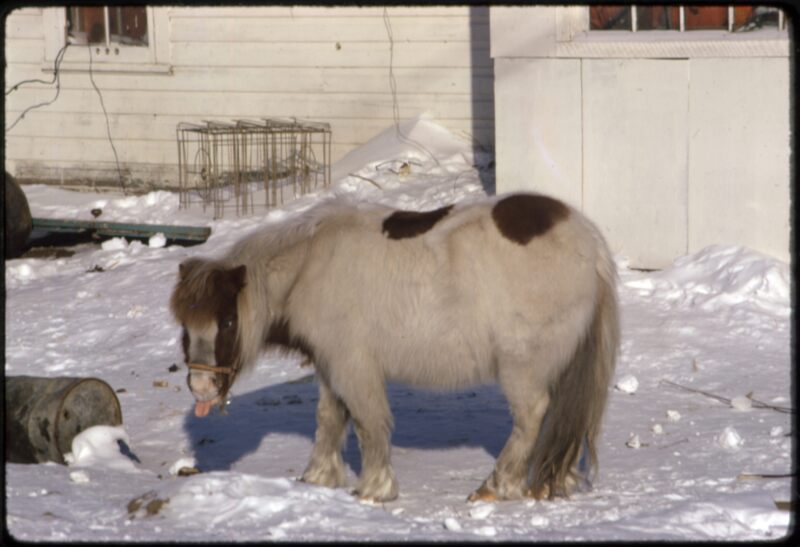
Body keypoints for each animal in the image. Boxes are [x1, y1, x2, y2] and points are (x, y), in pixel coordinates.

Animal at [170, 192, 620, 500]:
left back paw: (495, 486)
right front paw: (318, 478)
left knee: (531, 418)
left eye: (228, 321)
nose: (201, 389)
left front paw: (374, 488)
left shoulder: (354, 366)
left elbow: (369, 424)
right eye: (184, 325)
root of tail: (591, 243)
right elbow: (329, 420)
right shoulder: (332, 367)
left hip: (522, 368)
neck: (311, 265)